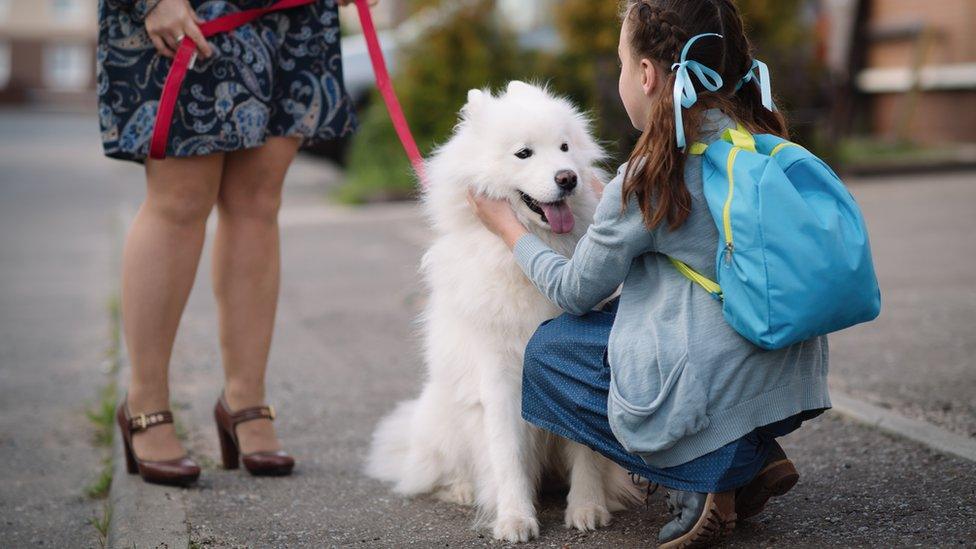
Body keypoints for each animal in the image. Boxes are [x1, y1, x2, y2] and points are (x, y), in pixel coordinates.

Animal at [366, 80, 640, 540]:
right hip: (446, 416)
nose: (568, 178)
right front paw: (514, 517)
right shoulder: (498, 375)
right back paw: (463, 490)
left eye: (564, 147)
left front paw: (586, 507)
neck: (536, 251)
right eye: (523, 153)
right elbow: (506, 453)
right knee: (441, 469)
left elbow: (584, 452)